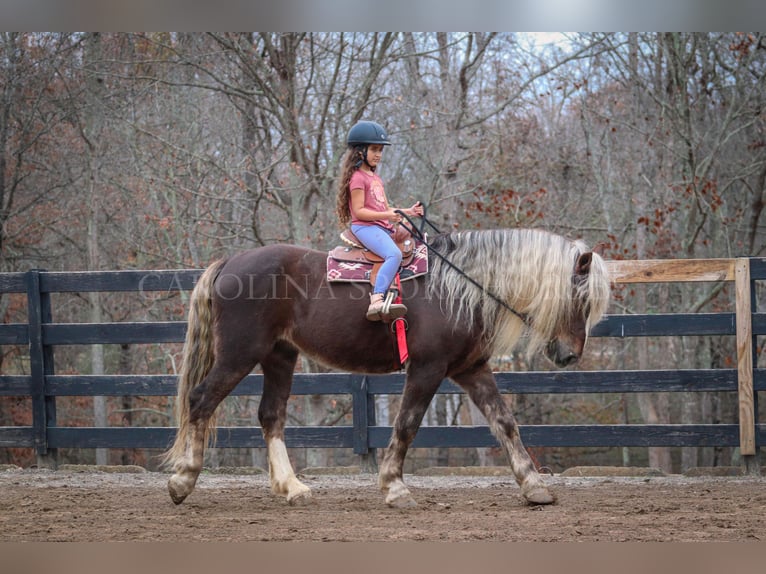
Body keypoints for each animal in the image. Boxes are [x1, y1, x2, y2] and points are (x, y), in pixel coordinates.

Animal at [164, 228, 612, 508]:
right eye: (581, 298)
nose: (569, 355)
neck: (458, 287)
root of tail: (229, 263)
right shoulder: (428, 368)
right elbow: (407, 424)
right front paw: (395, 487)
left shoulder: (471, 369)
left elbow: (505, 423)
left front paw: (534, 486)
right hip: (239, 354)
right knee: (200, 400)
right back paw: (183, 481)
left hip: (279, 356)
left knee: (270, 415)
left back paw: (293, 488)